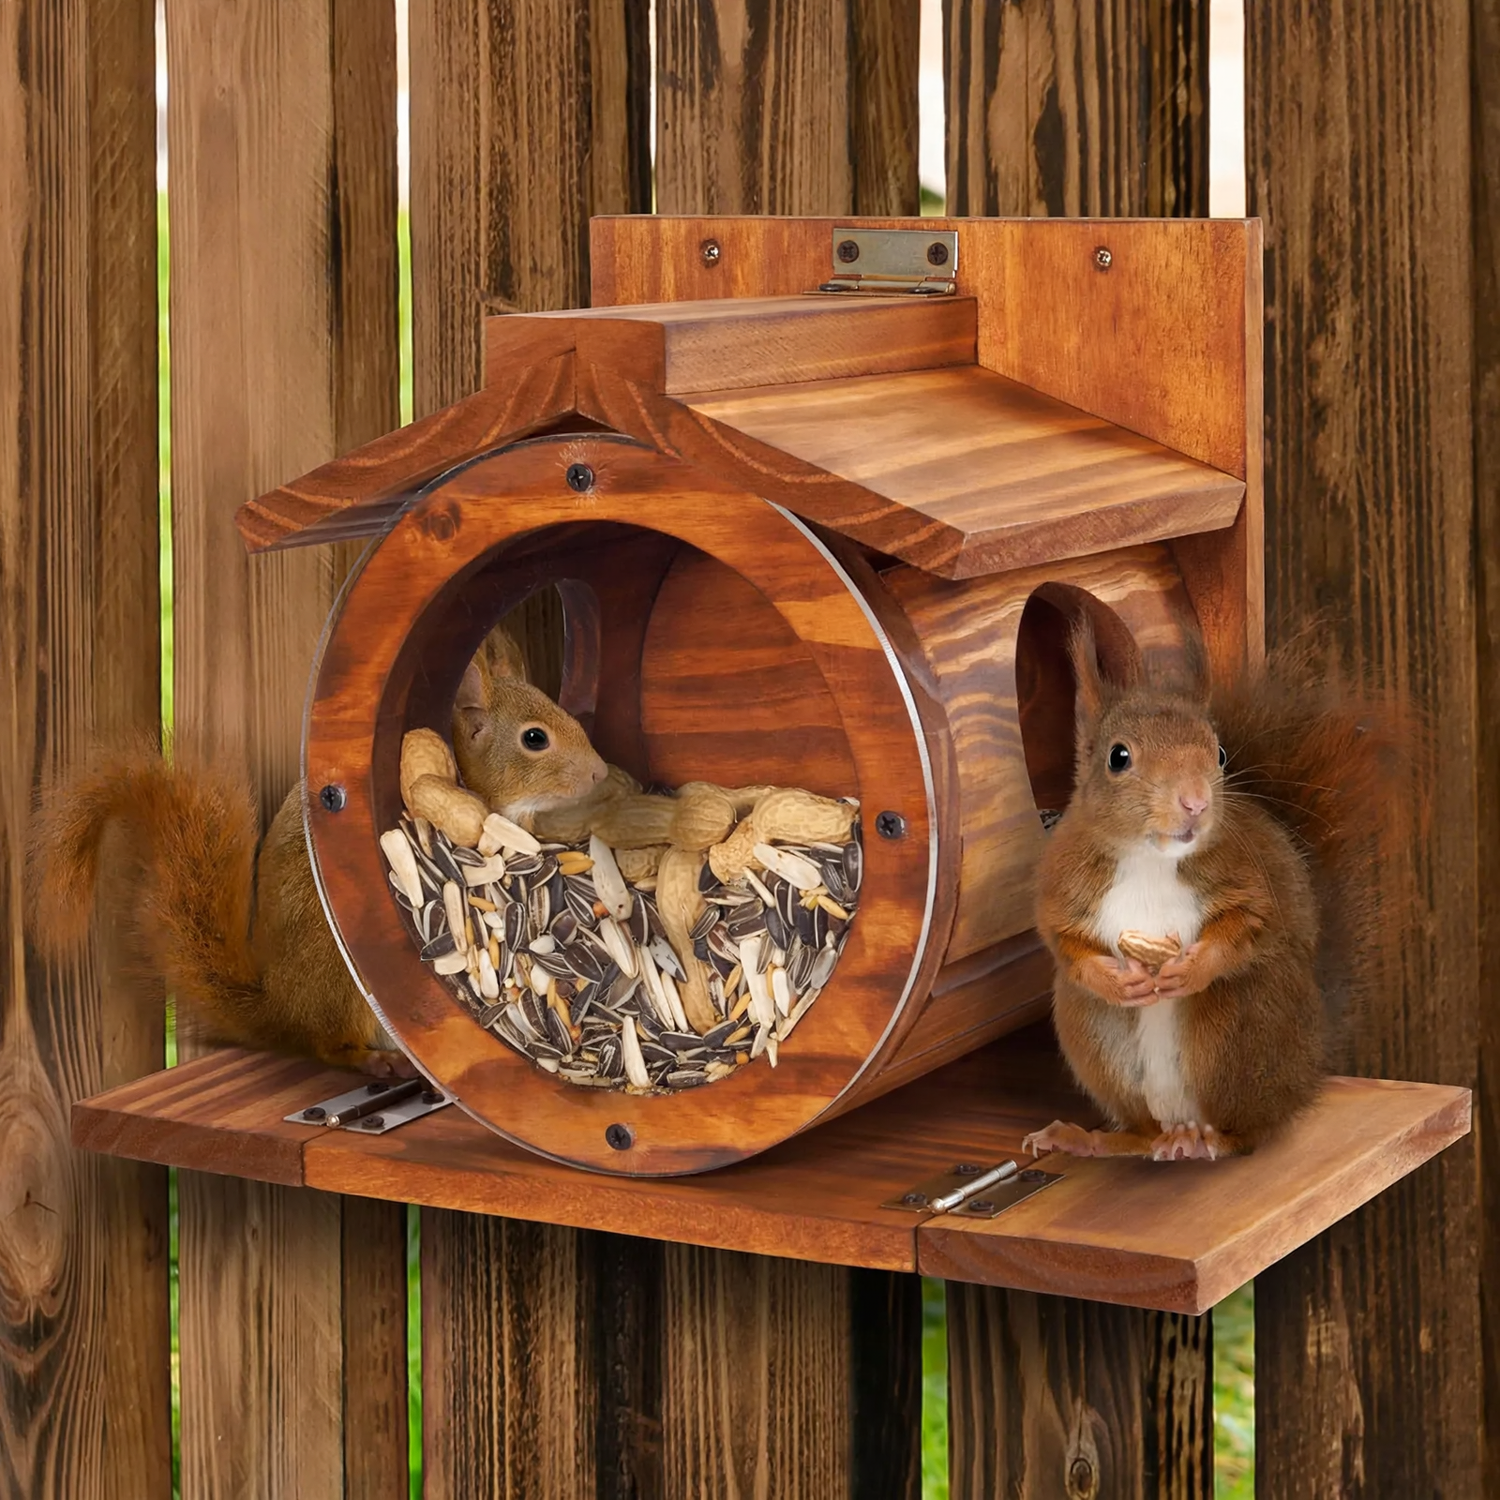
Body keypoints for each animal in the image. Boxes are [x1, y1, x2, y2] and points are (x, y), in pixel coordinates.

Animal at [29, 625, 607, 1076]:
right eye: (535, 739)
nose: (600, 772)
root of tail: (282, 1011)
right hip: (339, 976)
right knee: (328, 1045)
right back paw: (373, 1060)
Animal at [1023, 615, 1408, 1163]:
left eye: (1220, 752)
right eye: (1119, 757)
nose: (1196, 802)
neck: (1152, 859)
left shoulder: (1250, 881)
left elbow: (1249, 926)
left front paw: (1189, 969)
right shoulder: (1063, 888)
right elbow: (1066, 945)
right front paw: (1117, 981)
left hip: (1238, 1028)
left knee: (1248, 1133)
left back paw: (1209, 1140)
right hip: (1094, 1031)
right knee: (1140, 1134)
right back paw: (1090, 1138)